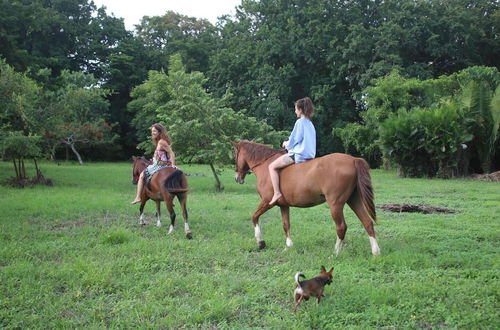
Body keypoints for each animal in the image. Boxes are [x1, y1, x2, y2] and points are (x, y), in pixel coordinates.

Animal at [232, 141, 380, 256]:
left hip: (335, 204)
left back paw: (335, 253)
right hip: (353, 200)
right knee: (367, 222)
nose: (237, 178)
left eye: (235, 155)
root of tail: (353, 159)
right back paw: (376, 252)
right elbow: (286, 225)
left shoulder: (267, 202)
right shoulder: (284, 205)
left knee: (341, 227)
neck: (266, 166)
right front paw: (288, 246)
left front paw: (260, 242)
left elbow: (254, 217)